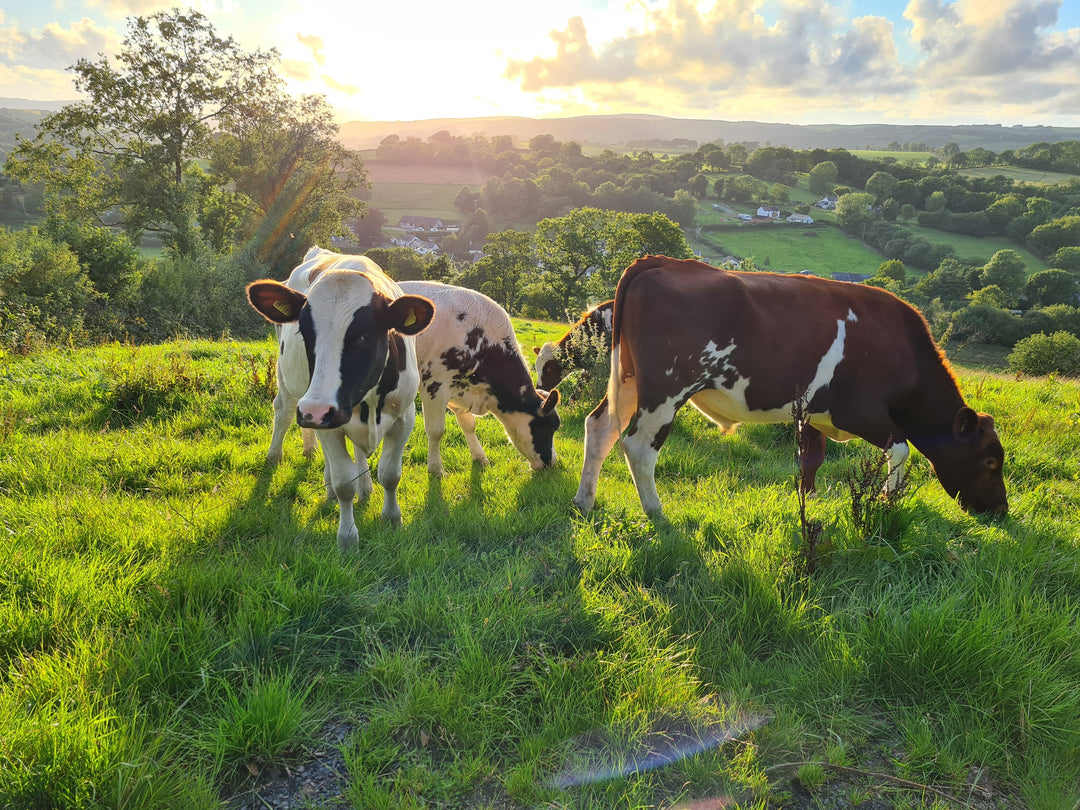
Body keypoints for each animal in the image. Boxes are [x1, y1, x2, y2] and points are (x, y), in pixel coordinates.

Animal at [248, 247, 434, 552]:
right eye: (304, 333)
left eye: (365, 336)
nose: (315, 410)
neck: (369, 402)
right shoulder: (326, 420)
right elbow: (343, 482)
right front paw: (347, 538)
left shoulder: (404, 416)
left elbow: (390, 474)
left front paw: (392, 518)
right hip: (290, 386)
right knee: (284, 412)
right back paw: (277, 457)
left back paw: (364, 486)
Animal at [399, 282, 565, 479]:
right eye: (549, 427)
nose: (551, 462)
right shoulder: (434, 385)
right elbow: (436, 430)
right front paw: (436, 469)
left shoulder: (459, 388)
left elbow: (469, 425)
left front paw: (480, 457)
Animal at [578, 257, 1006, 516]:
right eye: (990, 461)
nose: (1001, 511)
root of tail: (660, 261)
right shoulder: (859, 411)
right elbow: (901, 449)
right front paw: (888, 500)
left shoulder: (813, 413)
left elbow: (810, 459)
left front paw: (810, 501)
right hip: (666, 390)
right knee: (638, 445)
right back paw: (656, 512)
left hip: (629, 380)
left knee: (600, 427)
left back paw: (584, 501)